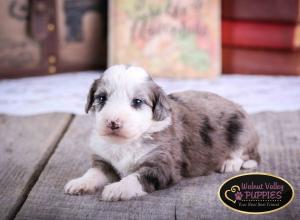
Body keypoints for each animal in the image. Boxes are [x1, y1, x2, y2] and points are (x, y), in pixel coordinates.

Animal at [63, 64, 260, 201]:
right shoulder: (104, 161)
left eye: (137, 101)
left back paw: (229, 163)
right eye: (101, 98)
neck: (127, 142)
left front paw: (117, 188)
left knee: (245, 154)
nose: (113, 123)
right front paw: (79, 183)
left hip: (242, 130)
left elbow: (136, 177)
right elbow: (94, 173)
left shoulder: (163, 165)